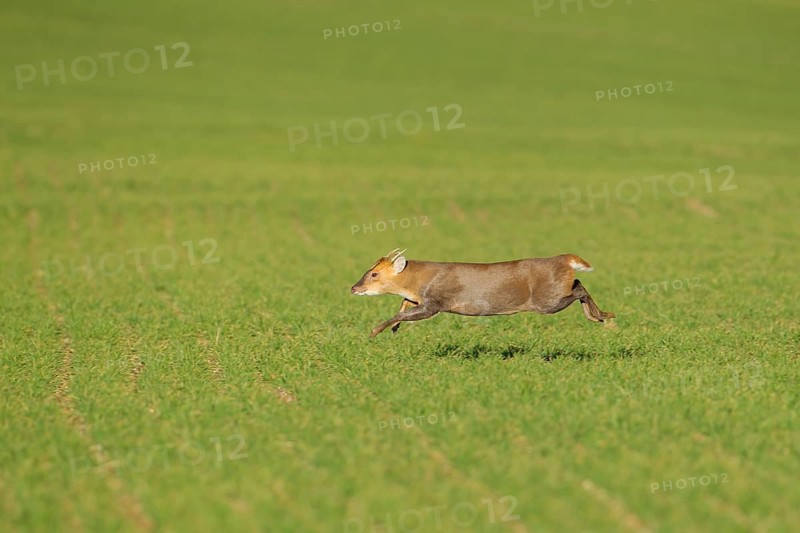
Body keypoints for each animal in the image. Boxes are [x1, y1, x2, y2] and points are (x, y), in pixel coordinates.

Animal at [351, 248, 615, 337]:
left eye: (374, 274)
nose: (354, 288)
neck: (416, 280)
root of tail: (566, 260)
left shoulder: (436, 303)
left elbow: (404, 311)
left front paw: (374, 332)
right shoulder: (421, 300)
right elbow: (404, 305)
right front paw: (393, 330)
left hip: (547, 300)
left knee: (579, 288)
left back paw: (603, 317)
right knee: (578, 282)